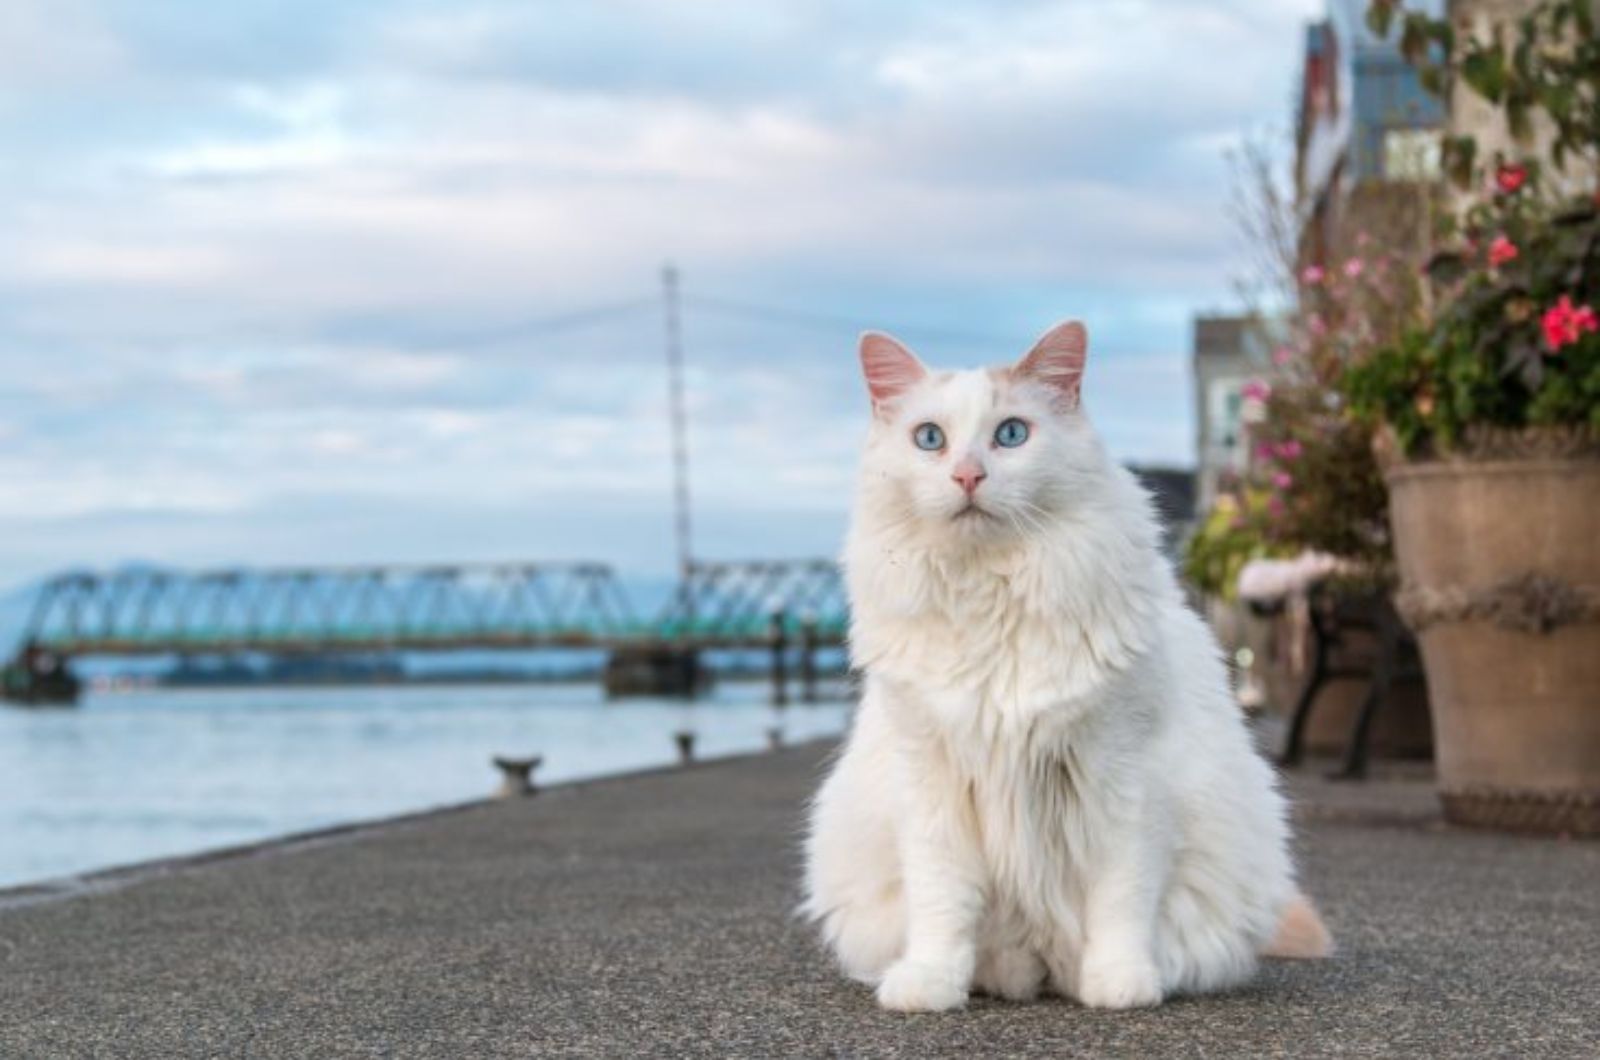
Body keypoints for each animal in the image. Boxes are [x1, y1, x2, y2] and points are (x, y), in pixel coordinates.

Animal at [806, 321, 1331, 1011]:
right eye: (930, 439)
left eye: (1010, 434)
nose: (968, 476)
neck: (991, 595)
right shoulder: (931, 782)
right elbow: (942, 904)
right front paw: (929, 984)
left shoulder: (1122, 776)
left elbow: (1120, 899)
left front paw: (1120, 983)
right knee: (1008, 955)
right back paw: (1006, 973)